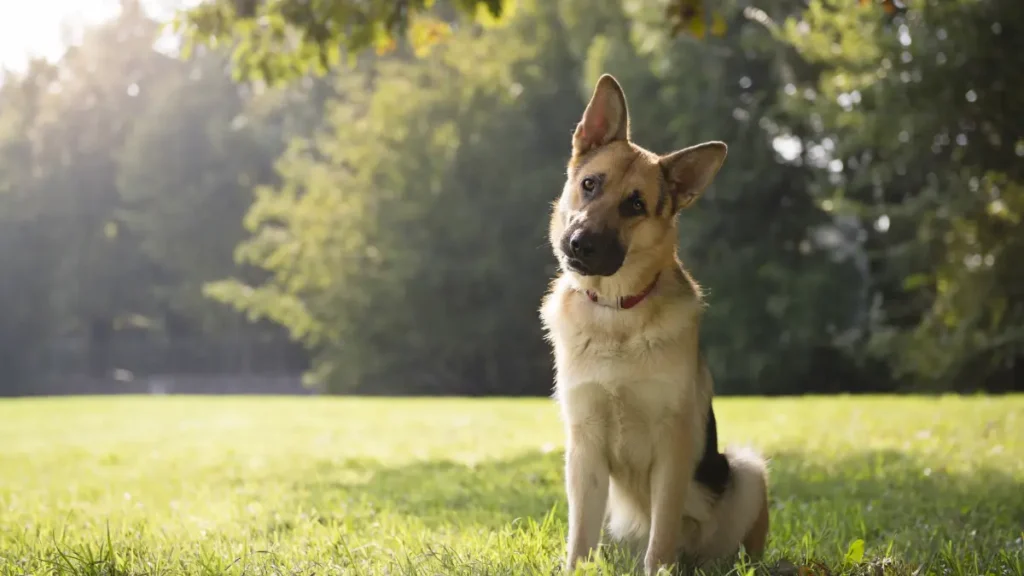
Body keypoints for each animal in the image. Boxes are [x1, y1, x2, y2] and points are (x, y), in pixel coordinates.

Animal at [544, 73, 770, 569]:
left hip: (745, 471)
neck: (616, 313)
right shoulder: (584, 451)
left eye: (635, 205)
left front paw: (660, 569)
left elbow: (661, 534)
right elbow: (579, 539)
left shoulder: (673, 449)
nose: (580, 244)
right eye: (590, 184)